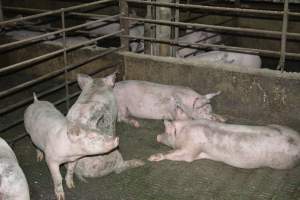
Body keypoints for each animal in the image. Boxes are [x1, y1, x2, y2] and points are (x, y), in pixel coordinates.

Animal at [149, 118, 300, 170]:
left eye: (166, 132)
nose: (156, 136)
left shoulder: (191, 147)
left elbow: (183, 156)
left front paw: (151, 158)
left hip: (282, 163)